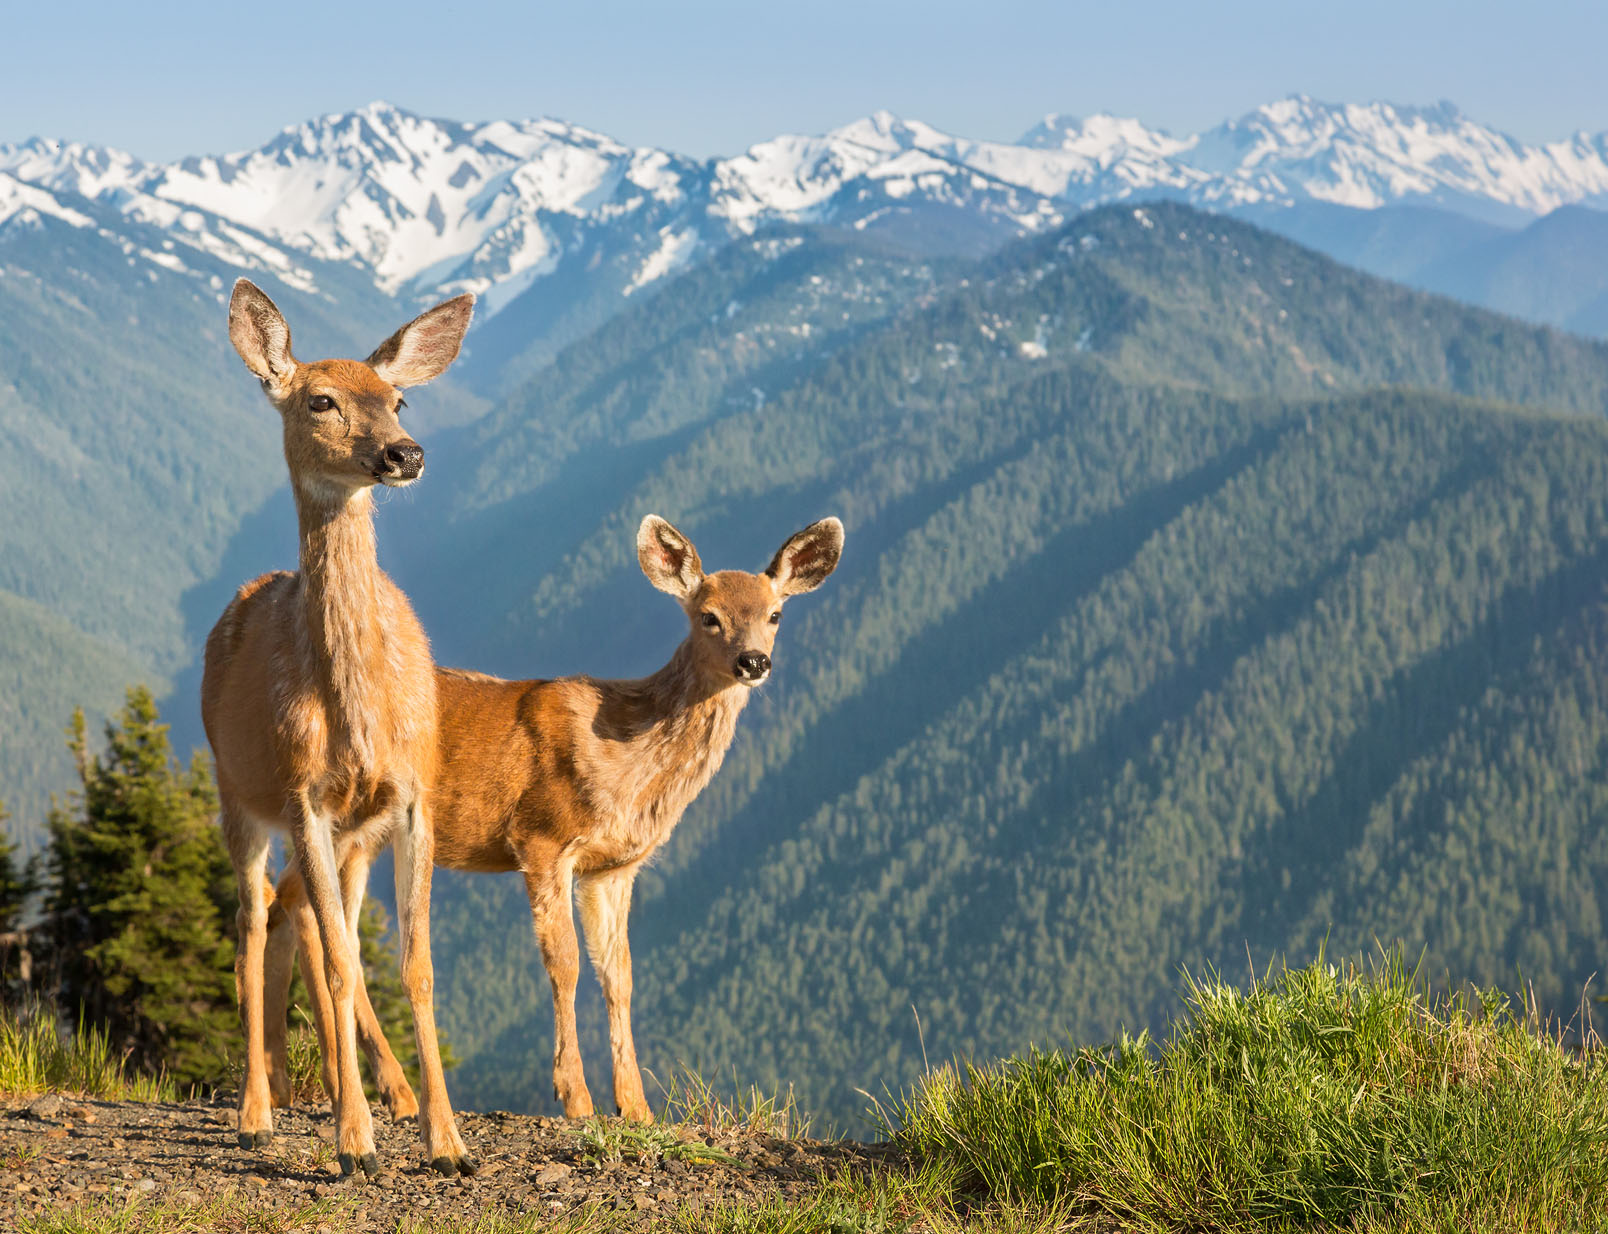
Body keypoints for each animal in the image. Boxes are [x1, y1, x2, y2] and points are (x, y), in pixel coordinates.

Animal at [204, 279, 475, 1177]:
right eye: (320, 399)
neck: (359, 710)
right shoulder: (303, 797)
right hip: (237, 796)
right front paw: (355, 1144)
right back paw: (259, 1111)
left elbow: (412, 966)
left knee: (307, 924)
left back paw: (327, 1091)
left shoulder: (412, 797)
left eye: (397, 398)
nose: (405, 454)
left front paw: (446, 1140)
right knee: (256, 922)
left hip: (351, 833)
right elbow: (343, 964)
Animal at [262, 514, 842, 1126]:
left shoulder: (614, 868)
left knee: (293, 902)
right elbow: (565, 965)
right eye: (709, 616)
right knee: (307, 909)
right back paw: (366, 1088)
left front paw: (636, 1106)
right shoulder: (541, 838)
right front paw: (576, 1097)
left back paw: (302, 1084)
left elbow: (621, 975)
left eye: (775, 614)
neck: (622, 757)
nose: (754, 662)